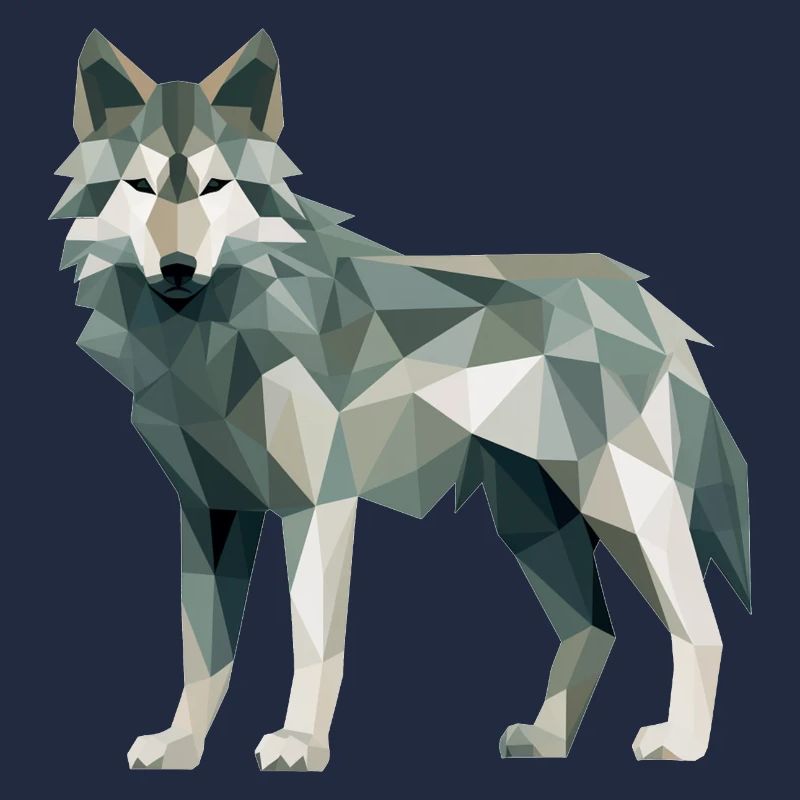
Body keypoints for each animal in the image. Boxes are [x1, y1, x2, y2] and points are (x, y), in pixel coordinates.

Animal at [52, 30, 750, 771]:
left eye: (215, 187)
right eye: (139, 186)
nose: (178, 268)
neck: (212, 337)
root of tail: (649, 305)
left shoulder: (317, 505)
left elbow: (313, 646)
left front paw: (299, 744)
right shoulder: (206, 512)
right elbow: (202, 655)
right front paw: (180, 744)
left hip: (625, 511)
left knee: (702, 628)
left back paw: (680, 743)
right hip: (534, 524)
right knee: (594, 628)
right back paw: (547, 740)